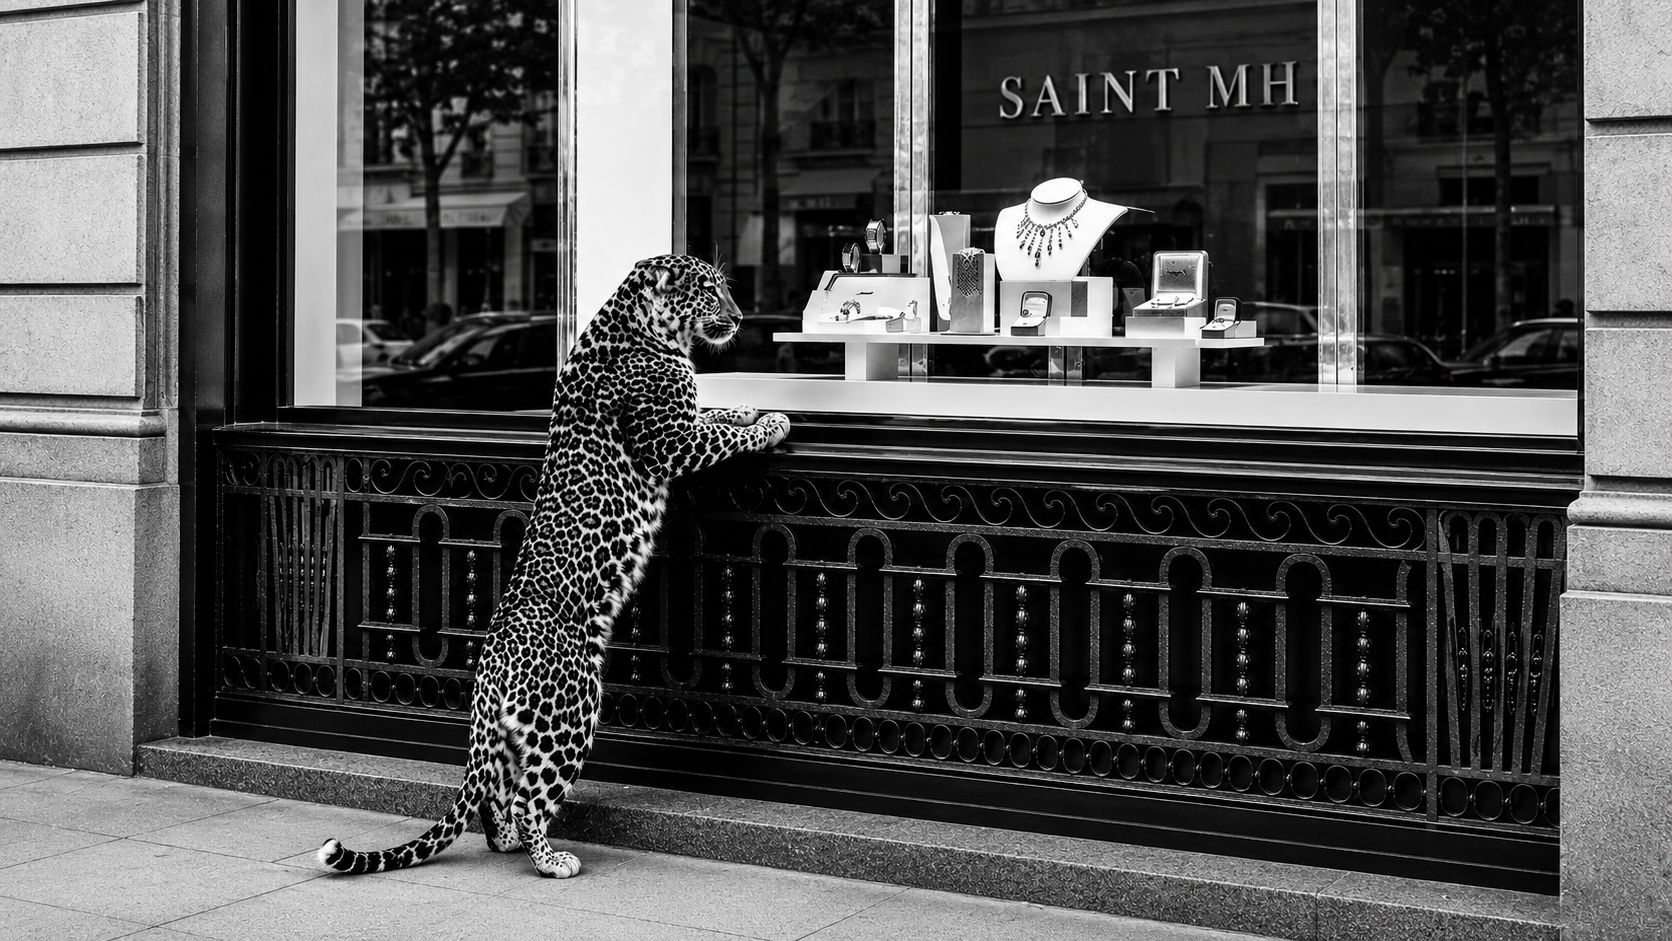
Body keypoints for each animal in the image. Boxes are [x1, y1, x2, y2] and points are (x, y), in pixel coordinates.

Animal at [317, 254, 789, 878]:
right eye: (710, 292)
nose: (738, 319)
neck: (643, 326)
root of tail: (489, 669)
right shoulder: (672, 442)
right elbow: (719, 433)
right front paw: (773, 420)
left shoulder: (683, 421)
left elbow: (712, 410)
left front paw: (745, 404)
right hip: (572, 711)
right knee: (528, 798)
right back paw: (550, 860)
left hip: (513, 734)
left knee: (494, 794)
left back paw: (506, 841)